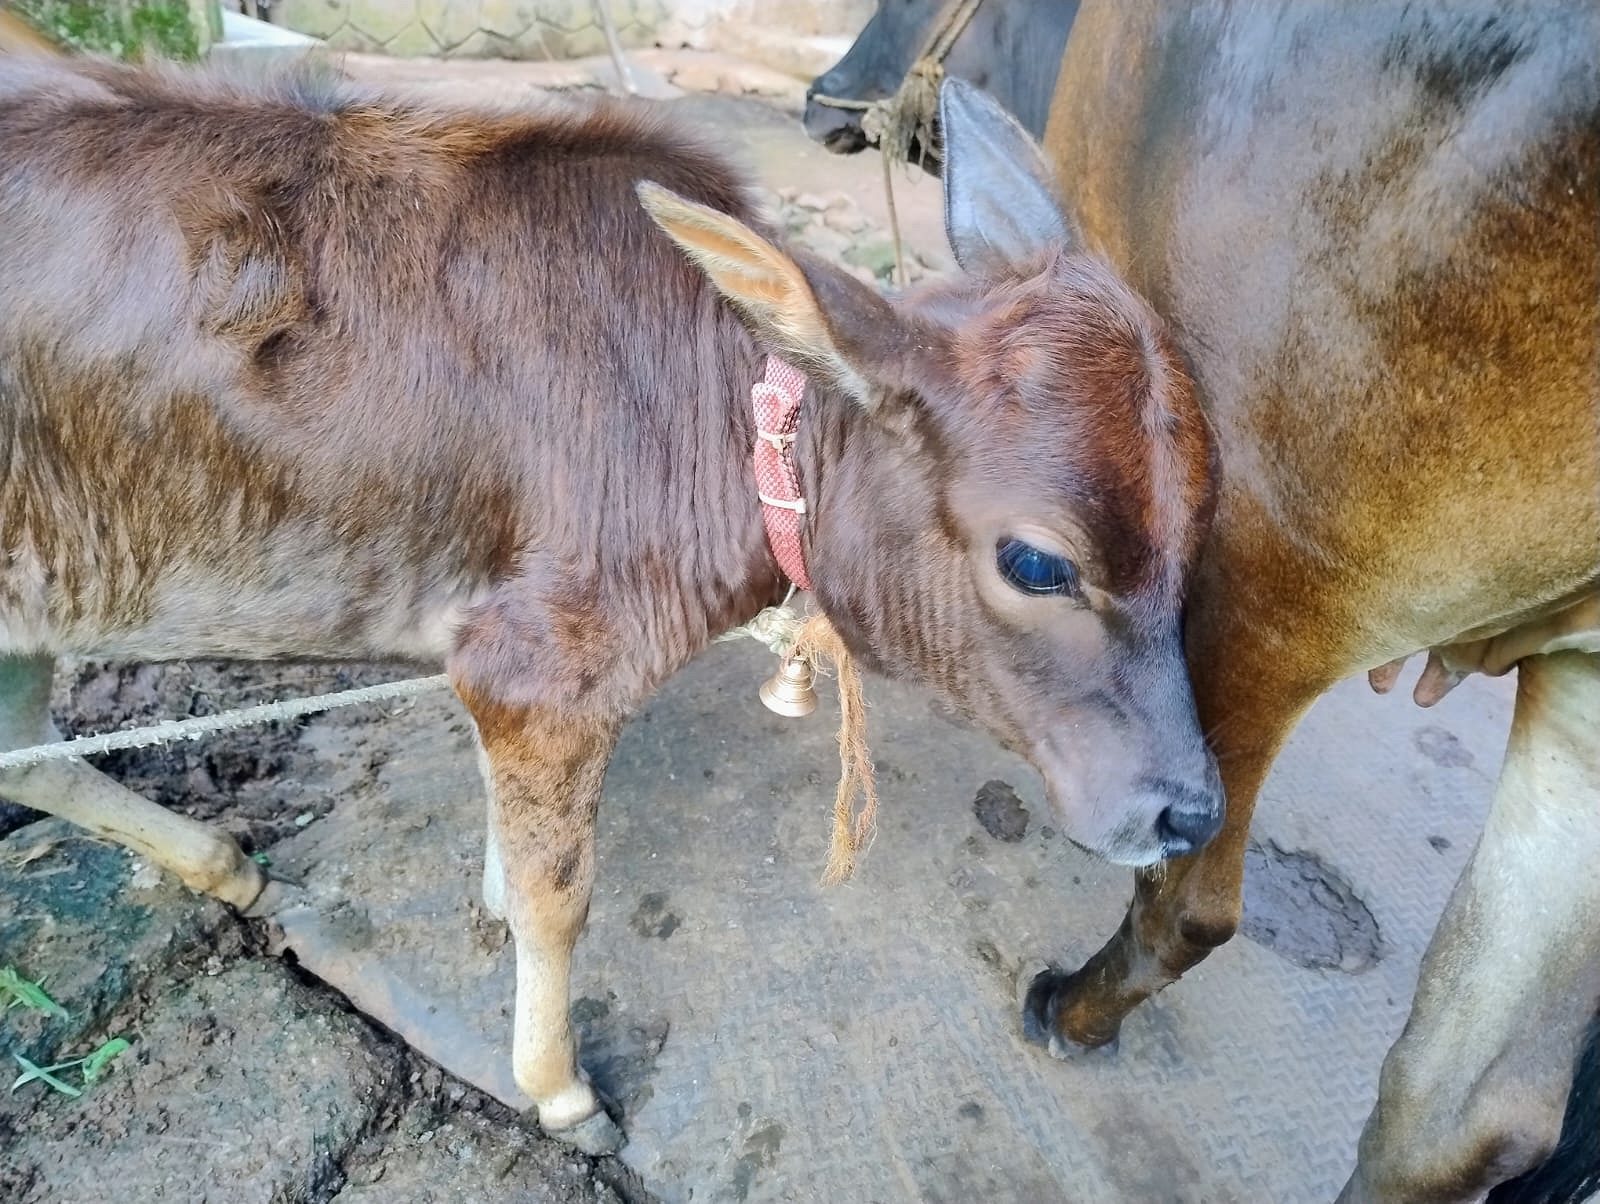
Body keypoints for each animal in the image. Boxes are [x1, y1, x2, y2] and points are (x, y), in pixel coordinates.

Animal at [0, 57, 1222, 1155]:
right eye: (1036, 563)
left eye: (1203, 528)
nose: (1190, 813)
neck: (720, 427)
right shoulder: (543, 672)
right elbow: (563, 893)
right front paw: (558, 1087)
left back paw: (226, 864)